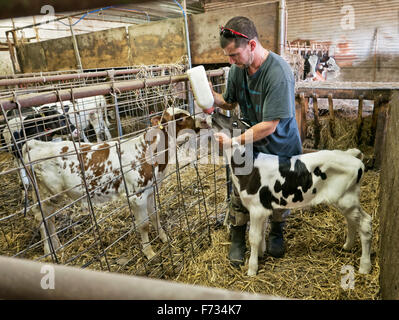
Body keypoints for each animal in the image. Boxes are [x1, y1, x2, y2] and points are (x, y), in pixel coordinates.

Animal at [22, 107, 208, 258]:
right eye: (180, 118)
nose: (203, 121)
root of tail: (35, 143)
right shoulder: (137, 196)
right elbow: (144, 225)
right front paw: (149, 252)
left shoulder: (150, 190)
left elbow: (155, 215)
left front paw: (163, 237)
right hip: (48, 194)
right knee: (41, 217)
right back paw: (48, 251)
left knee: (49, 219)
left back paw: (57, 246)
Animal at [211, 111, 374, 276]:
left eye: (235, 123)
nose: (215, 112)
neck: (249, 167)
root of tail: (349, 155)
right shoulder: (263, 208)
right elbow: (262, 232)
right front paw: (261, 254)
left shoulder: (257, 208)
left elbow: (254, 237)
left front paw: (252, 269)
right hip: (345, 199)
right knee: (352, 221)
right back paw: (347, 246)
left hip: (347, 199)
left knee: (365, 224)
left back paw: (365, 266)